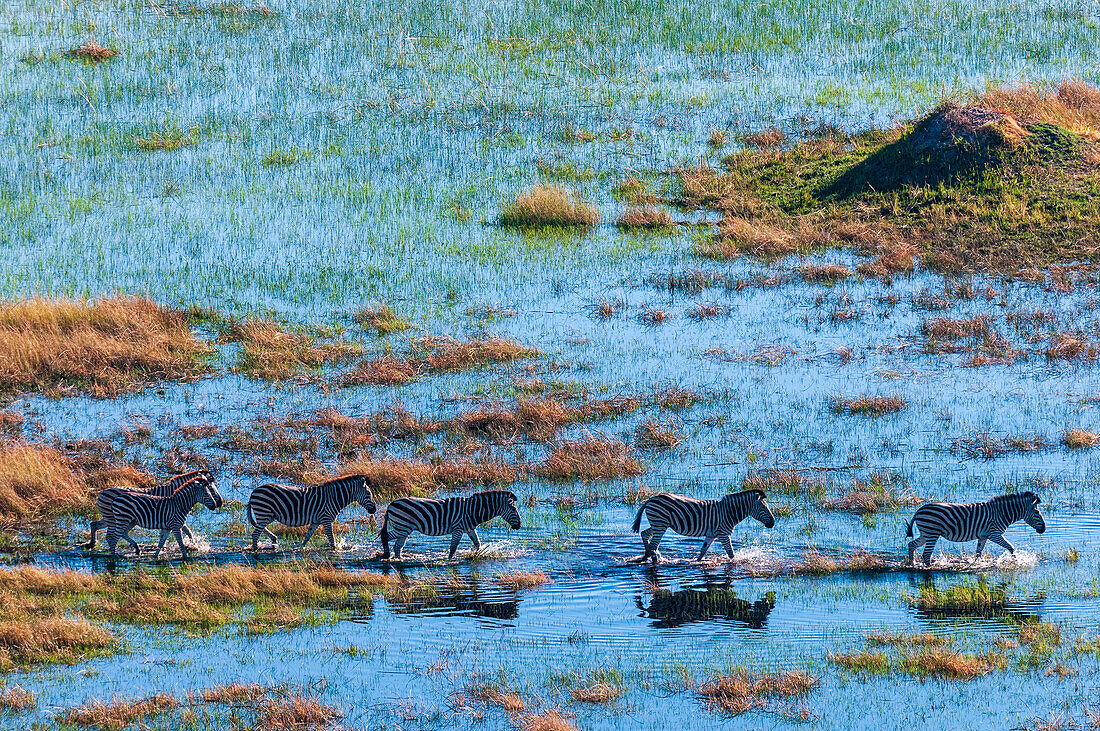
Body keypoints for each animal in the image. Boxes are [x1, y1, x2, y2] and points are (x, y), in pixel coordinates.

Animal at [246, 472, 378, 547]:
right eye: (368, 494)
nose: (374, 510)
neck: (334, 497)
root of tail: (253, 492)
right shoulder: (326, 519)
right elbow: (332, 539)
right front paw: (334, 550)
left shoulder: (316, 521)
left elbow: (307, 537)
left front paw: (301, 549)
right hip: (264, 513)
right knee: (255, 534)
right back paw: (255, 550)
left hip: (268, 515)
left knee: (259, 528)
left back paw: (273, 539)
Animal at [380, 490, 521, 558]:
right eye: (514, 510)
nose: (519, 525)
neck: (472, 510)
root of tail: (391, 504)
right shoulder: (458, 528)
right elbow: (453, 548)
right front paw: (449, 561)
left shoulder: (470, 529)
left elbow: (477, 544)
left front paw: (478, 555)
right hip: (402, 527)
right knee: (386, 537)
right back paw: (387, 554)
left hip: (404, 529)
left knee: (397, 547)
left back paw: (400, 559)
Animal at [629, 490, 774, 562]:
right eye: (763, 508)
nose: (772, 523)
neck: (729, 512)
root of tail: (651, 499)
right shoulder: (723, 533)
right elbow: (731, 553)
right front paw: (736, 562)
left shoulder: (711, 535)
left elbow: (703, 551)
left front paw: (696, 562)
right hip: (660, 524)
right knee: (654, 545)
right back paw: (654, 561)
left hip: (658, 524)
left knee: (645, 534)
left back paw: (646, 556)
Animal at [910, 490, 1047, 562]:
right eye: (1037, 512)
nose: (1044, 529)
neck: (1001, 513)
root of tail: (919, 510)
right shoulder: (994, 534)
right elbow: (1011, 547)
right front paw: (1015, 561)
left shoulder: (983, 536)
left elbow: (978, 553)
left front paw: (976, 564)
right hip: (932, 533)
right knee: (926, 555)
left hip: (926, 534)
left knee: (911, 545)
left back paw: (911, 563)